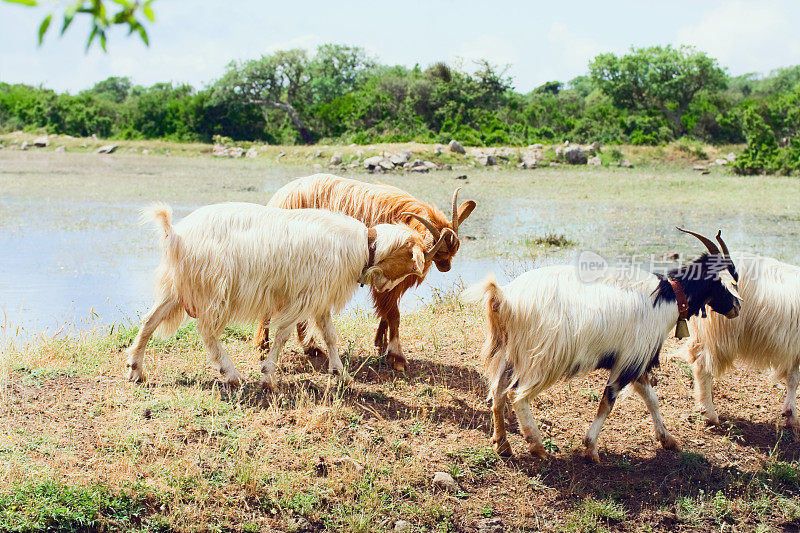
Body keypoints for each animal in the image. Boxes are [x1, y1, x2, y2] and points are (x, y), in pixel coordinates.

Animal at [123, 201, 432, 386]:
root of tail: (175, 233)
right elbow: (283, 334)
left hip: (177, 287)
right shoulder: (302, 296)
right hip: (215, 288)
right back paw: (231, 374)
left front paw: (340, 373)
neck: (363, 246)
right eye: (409, 262)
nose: (387, 289)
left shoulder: (319, 298)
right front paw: (268, 375)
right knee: (207, 331)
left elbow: (330, 335)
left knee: (149, 321)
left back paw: (136, 369)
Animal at [260, 175, 476, 370]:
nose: (446, 267)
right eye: (441, 251)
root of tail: (278, 198)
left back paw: (310, 348)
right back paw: (265, 346)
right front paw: (397, 356)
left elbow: (387, 314)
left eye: (454, 250)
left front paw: (381, 343)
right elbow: (393, 315)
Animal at [462, 229, 744, 462]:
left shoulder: (636, 361)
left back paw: (502, 444)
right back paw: (537, 445)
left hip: (510, 354)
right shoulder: (629, 361)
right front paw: (590, 448)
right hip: (542, 358)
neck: (666, 297)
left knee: (497, 393)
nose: (737, 307)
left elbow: (651, 399)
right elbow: (607, 403)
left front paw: (668, 440)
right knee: (516, 395)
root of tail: (502, 297)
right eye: (724, 282)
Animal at [680, 251, 800, 430]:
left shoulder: (794, 352)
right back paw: (709, 414)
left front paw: (789, 414)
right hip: (720, 334)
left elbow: (793, 379)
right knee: (703, 366)